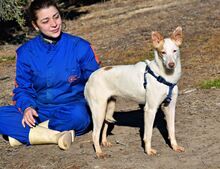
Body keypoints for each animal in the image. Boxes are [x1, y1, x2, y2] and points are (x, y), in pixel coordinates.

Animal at [85, 26, 185, 158]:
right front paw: (148, 150)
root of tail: (90, 77)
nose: (171, 64)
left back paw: (104, 142)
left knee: (104, 126)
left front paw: (175, 147)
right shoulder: (150, 109)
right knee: (94, 134)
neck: (165, 76)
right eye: (162, 52)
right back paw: (99, 152)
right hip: (98, 111)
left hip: (109, 106)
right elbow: (148, 134)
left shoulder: (170, 107)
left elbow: (172, 131)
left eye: (174, 51)